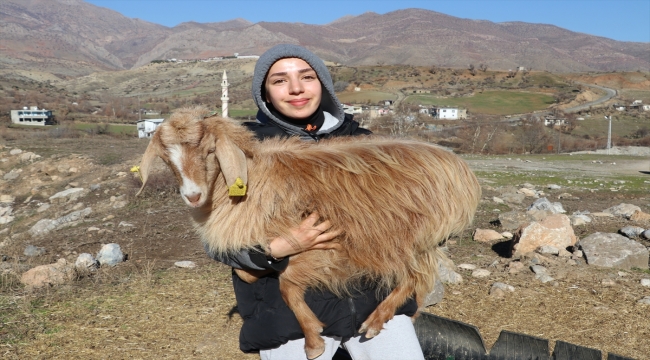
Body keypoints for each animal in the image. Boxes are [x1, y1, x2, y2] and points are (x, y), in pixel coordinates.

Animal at [137, 107, 480, 360]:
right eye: (166, 159)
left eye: (209, 152)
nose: (192, 196)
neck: (254, 179)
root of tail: (458, 166)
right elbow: (247, 271)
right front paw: (255, 275)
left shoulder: (323, 246)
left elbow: (287, 286)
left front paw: (313, 340)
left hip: (403, 236)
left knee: (415, 276)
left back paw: (375, 320)